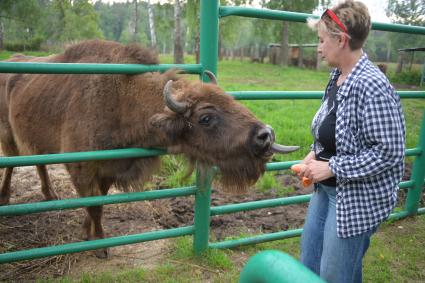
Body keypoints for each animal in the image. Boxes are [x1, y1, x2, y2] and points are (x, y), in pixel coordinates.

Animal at [0, 38, 298, 258]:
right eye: (205, 117)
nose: (265, 135)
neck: (121, 99)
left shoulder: (107, 171)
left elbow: (98, 205)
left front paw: (88, 233)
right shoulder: (82, 169)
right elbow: (94, 206)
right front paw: (101, 248)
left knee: (38, 162)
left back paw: (50, 194)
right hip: (9, 138)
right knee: (13, 164)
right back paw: (6, 197)